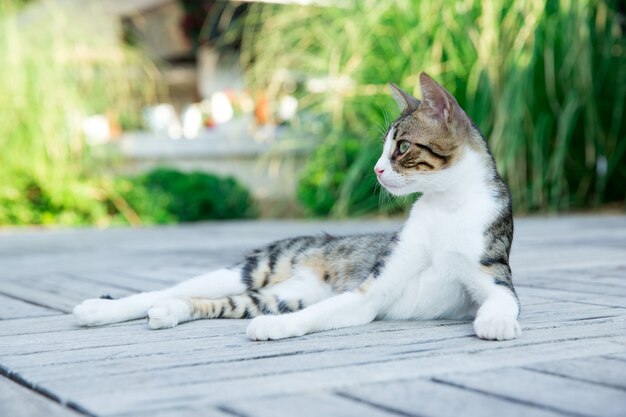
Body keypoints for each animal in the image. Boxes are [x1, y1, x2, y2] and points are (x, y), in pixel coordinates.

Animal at [73, 74, 520, 342]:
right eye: (384, 148)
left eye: (403, 147)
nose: (376, 169)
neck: (446, 207)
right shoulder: (372, 289)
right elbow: (329, 309)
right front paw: (277, 327)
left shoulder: (492, 271)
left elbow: (506, 300)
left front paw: (497, 322)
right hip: (259, 266)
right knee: (172, 288)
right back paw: (99, 309)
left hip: (280, 294)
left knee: (212, 301)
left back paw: (167, 312)